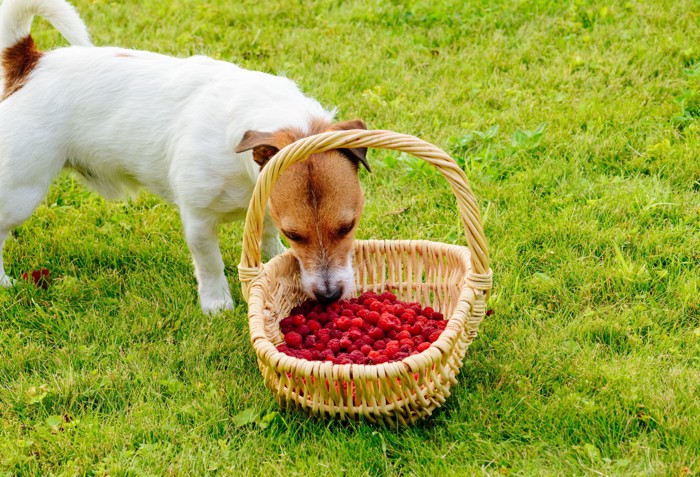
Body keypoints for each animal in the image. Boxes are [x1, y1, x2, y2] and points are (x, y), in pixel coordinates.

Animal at [0, 0, 370, 312]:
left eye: (348, 227)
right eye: (296, 235)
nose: (329, 296)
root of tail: (31, 62)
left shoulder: (265, 202)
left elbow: (265, 236)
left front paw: (274, 262)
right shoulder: (198, 221)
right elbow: (210, 265)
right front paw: (217, 305)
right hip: (21, 193)